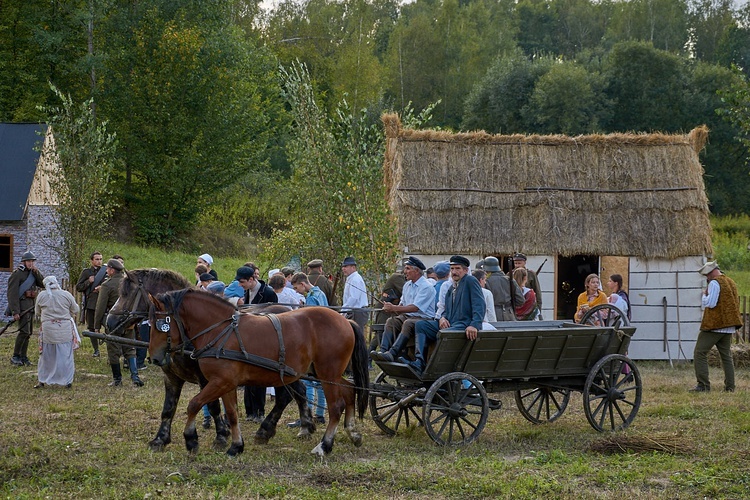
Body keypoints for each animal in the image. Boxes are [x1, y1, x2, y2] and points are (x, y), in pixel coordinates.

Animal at [149, 288, 370, 456]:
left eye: (161, 325)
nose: (154, 358)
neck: (219, 331)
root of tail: (344, 320)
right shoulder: (226, 383)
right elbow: (232, 414)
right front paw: (236, 446)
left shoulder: (218, 382)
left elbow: (194, 404)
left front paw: (191, 439)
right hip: (327, 374)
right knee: (349, 391)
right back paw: (353, 433)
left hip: (327, 374)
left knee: (336, 406)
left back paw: (324, 445)